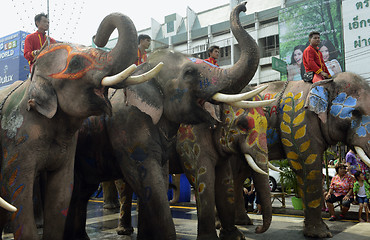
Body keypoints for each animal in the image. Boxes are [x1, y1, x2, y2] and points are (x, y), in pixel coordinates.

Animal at [63, 2, 260, 240]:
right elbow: (149, 178)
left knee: (80, 191)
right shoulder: (128, 124)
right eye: (190, 72)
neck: (145, 69)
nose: (244, 7)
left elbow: (164, 175)